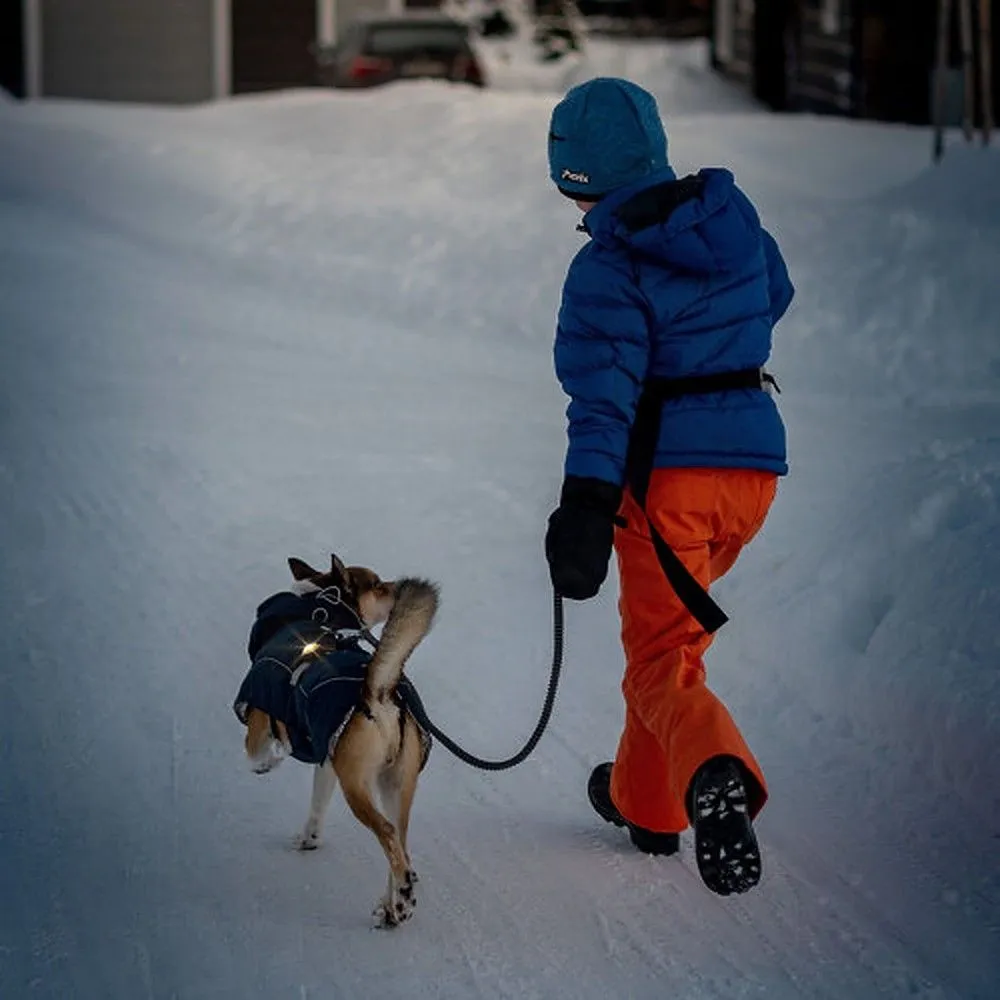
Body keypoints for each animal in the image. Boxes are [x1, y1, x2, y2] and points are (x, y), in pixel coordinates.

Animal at [236, 552, 440, 924]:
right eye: (378, 584)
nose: (401, 584)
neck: (315, 607)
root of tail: (380, 693)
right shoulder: (327, 756)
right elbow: (317, 805)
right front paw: (309, 839)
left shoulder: (257, 721)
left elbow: (257, 755)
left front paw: (272, 759)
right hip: (395, 783)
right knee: (400, 842)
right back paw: (393, 906)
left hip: (357, 785)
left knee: (387, 835)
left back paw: (401, 898)